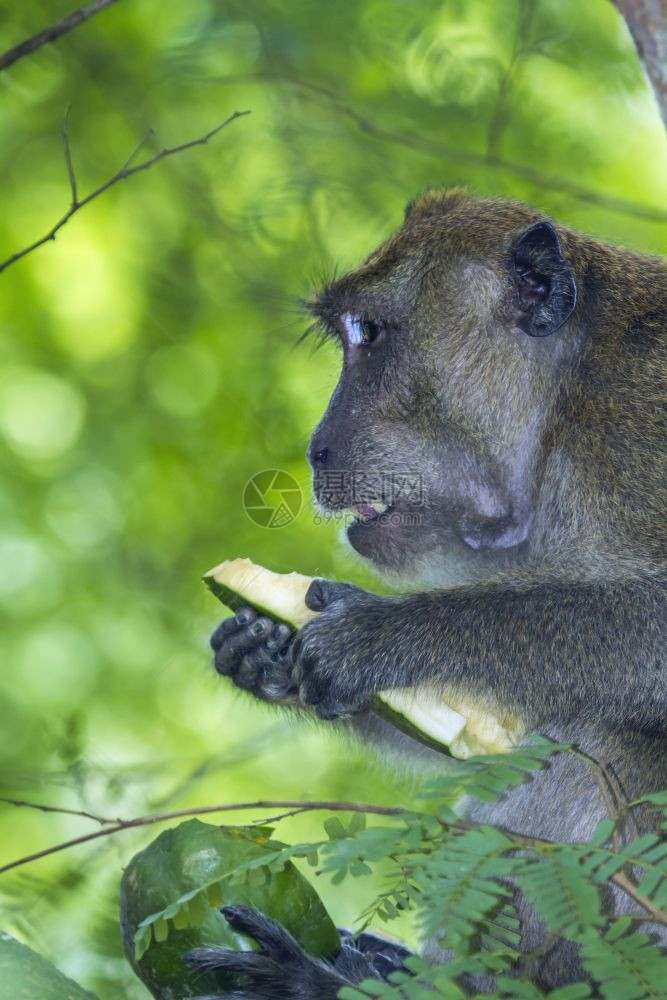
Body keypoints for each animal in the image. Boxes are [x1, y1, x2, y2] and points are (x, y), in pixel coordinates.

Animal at [184, 191, 667, 996]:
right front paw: (264, 651)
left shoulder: (635, 432)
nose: (316, 448)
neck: (562, 406)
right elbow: (484, 728)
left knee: (598, 743)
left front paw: (376, 638)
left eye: (370, 335)